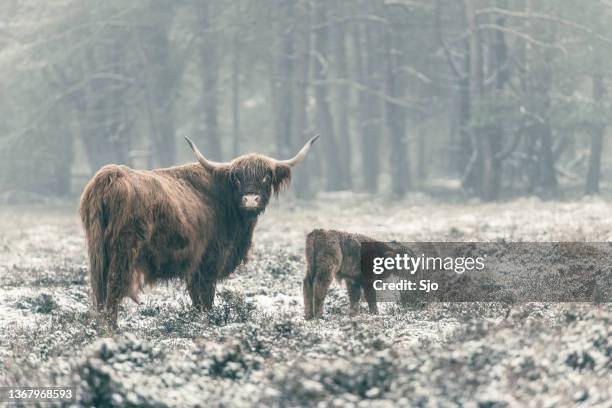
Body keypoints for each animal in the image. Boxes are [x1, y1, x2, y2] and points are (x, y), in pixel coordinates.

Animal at [80, 135, 318, 326]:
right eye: (237, 177)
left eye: (266, 176)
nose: (250, 200)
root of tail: (109, 176)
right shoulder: (208, 263)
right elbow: (205, 299)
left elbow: (197, 301)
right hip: (124, 251)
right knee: (113, 290)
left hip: (97, 254)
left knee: (99, 292)